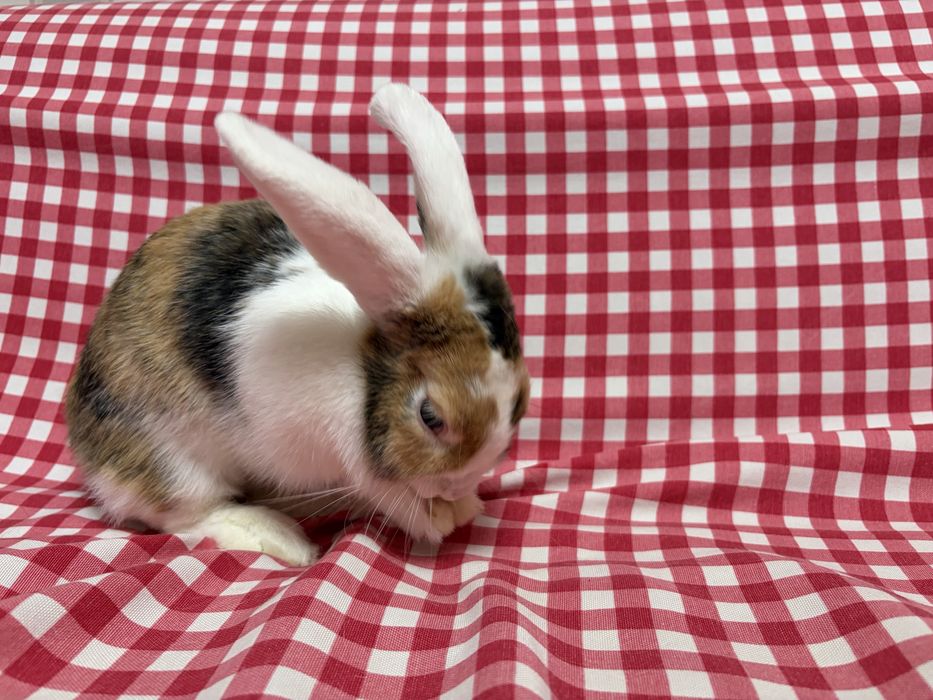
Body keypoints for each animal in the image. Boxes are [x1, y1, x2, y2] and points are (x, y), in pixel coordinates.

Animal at [64, 84, 530, 566]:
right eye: (430, 416)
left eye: (520, 404)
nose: (454, 488)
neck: (362, 373)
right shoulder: (347, 454)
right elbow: (386, 492)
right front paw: (438, 518)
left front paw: (462, 506)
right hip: (169, 455)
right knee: (185, 512)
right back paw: (273, 535)